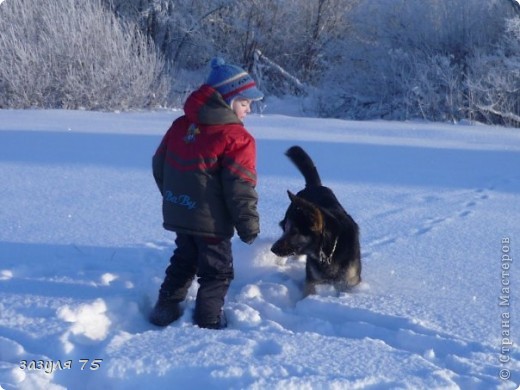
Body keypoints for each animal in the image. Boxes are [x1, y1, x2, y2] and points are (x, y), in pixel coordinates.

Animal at [272, 146, 362, 296]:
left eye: (295, 231)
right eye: (285, 230)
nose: (272, 249)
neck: (329, 250)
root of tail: (314, 186)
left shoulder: (349, 284)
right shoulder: (311, 281)